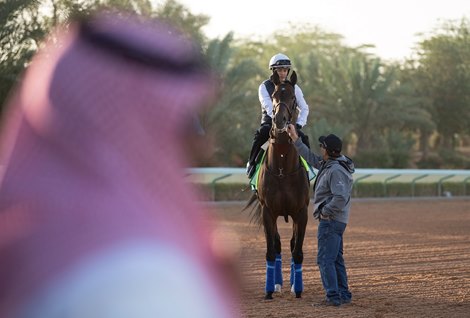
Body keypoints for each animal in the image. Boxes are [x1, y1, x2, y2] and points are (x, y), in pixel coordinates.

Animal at [244, 69, 310, 298]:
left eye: (293, 98)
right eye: (273, 96)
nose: (280, 120)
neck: (282, 169)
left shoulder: (301, 212)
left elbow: (297, 251)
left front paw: (297, 289)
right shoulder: (268, 212)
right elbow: (271, 251)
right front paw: (269, 291)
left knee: (289, 244)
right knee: (279, 245)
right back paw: (278, 284)